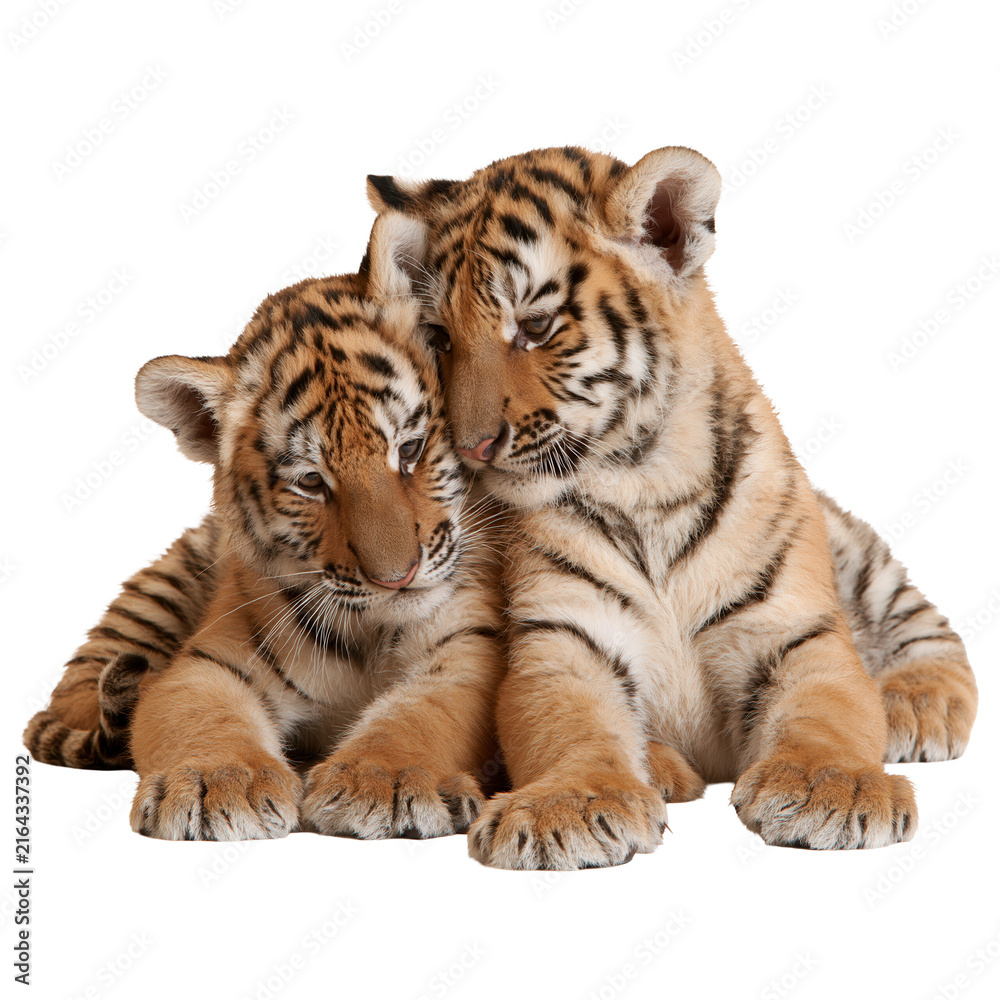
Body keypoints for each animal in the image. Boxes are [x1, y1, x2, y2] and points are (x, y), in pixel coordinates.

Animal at [23, 213, 506, 841]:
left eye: (410, 450)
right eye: (310, 482)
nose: (396, 578)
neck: (371, 632)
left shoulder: (469, 651)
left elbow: (424, 714)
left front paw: (385, 782)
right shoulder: (208, 664)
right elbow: (199, 714)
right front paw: (218, 785)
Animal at [365, 145, 978, 869]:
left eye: (535, 327)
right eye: (439, 338)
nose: (471, 447)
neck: (643, 480)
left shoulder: (795, 630)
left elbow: (831, 712)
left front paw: (834, 789)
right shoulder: (564, 639)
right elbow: (563, 725)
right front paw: (566, 806)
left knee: (928, 627)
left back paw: (916, 705)